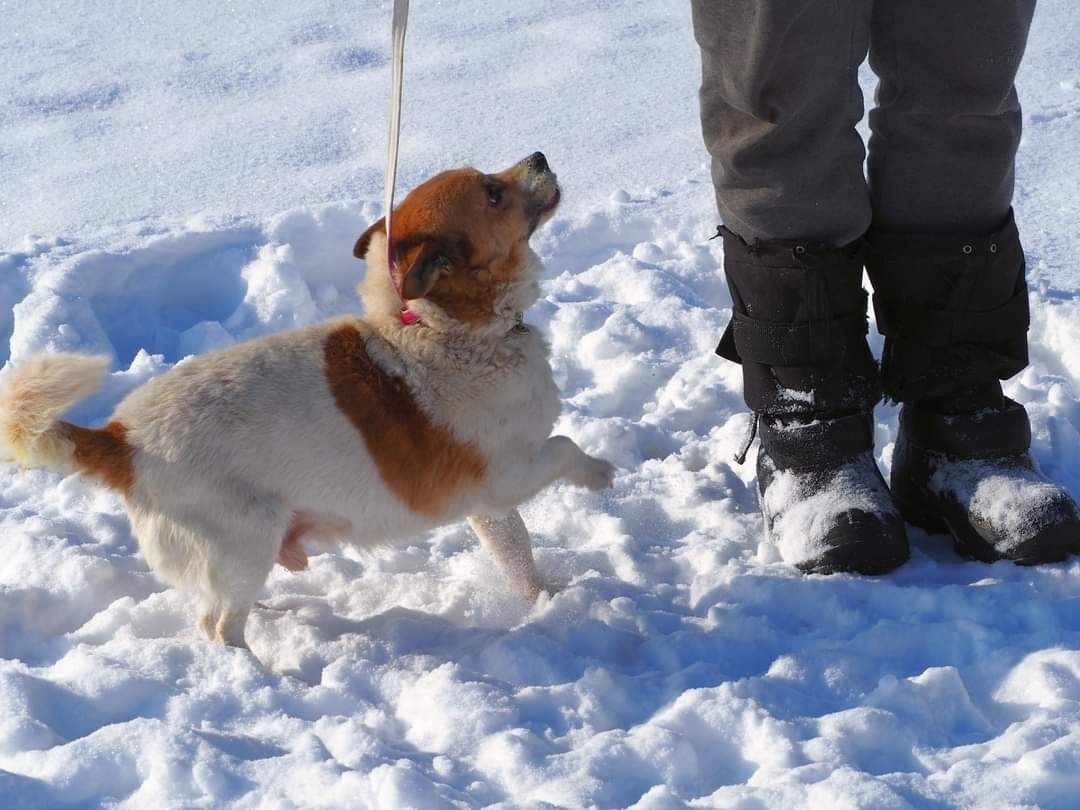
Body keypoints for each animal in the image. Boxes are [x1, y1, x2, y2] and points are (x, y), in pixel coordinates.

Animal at [0, 152, 617, 648]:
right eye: (492, 193)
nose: (538, 156)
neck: (442, 328)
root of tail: (123, 440)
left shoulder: (491, 508)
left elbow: (518, 555)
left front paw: (541, 599)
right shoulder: (502, 476)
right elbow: (565, 447)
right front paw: (601, 473)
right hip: (244, 538)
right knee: (217, 628)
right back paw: (255, 673)